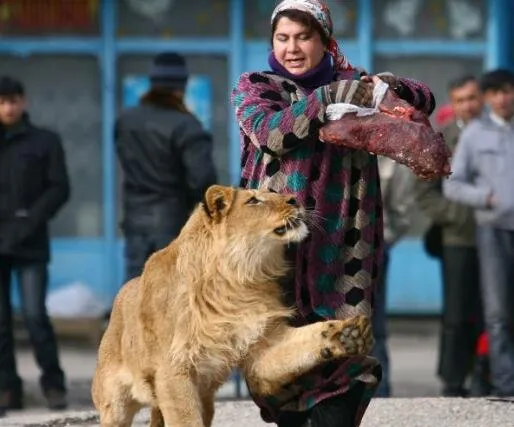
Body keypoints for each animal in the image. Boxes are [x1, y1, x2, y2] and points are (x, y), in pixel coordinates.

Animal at [91, 186, 372, 427]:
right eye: (253, 201)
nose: (296, 200)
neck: (238, 280)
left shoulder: (262, 343)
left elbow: (301, 344)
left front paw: (346, 334)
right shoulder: (173, 371)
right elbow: (185, 420)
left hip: (204, 401)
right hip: (114, 405)